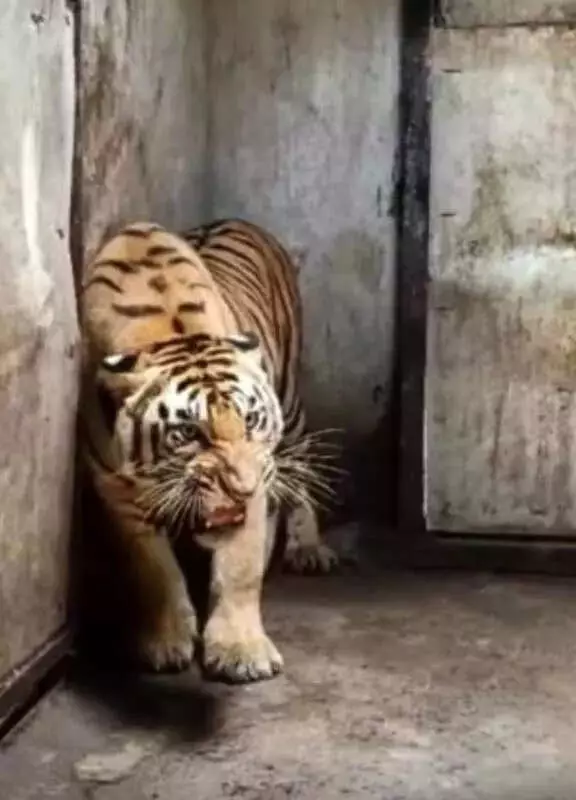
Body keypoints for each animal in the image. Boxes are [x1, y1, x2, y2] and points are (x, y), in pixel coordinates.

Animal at [79, 217, 339, 683]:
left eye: (251, 420)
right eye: (188, 433)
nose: (242, 488)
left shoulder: (260, 477)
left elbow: (240, 568)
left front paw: (242, 653)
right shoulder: (115, 488)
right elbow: (151, 569)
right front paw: (165, 644)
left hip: (291, 403)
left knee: (301, 468)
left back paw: (308, 548)